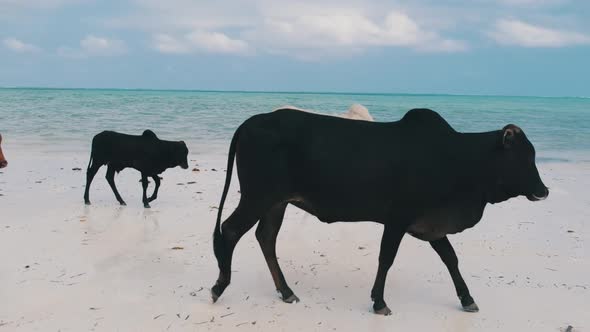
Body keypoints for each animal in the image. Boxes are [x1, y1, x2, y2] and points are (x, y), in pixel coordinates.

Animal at [213, 109, 552, 316]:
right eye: (523, 157)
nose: (544, 190)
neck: (458, 158)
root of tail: (251, 122)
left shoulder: (431, 226)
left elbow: (451, 258)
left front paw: (467, 299)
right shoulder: (398, 218)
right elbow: (386, 257)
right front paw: (379, 302)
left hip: (276, 202)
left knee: (265, 237)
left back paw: (286, 291)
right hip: (258, 197)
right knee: (230, 231)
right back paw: (219, 287)